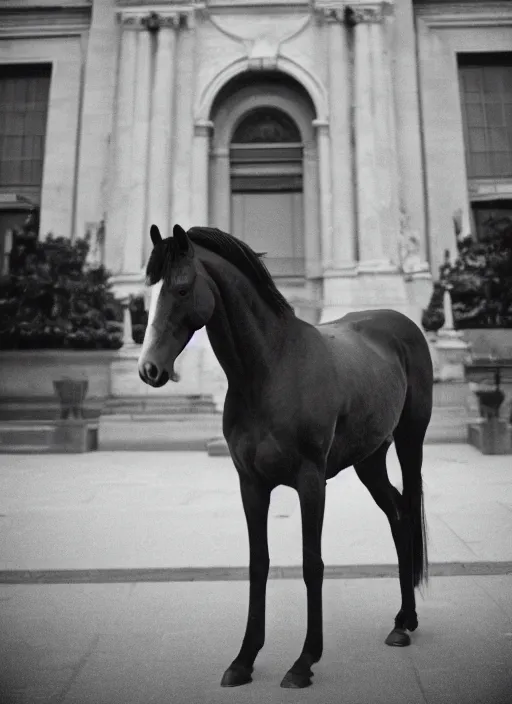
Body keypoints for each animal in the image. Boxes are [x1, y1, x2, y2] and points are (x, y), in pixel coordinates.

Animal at [139, 224, 432, 688]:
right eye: (147, 291)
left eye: (182, 288)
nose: (148, 369)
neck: (270, 369)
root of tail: (400, 322)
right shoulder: (251, 485)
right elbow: (258, 563)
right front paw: (244, 659)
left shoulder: (311, 482)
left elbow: (312, 564)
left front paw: (304, 661)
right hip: (369, 460)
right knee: (399, 515)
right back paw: (402, 621)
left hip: (409, 443)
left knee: (407, 507)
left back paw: (406, 621)